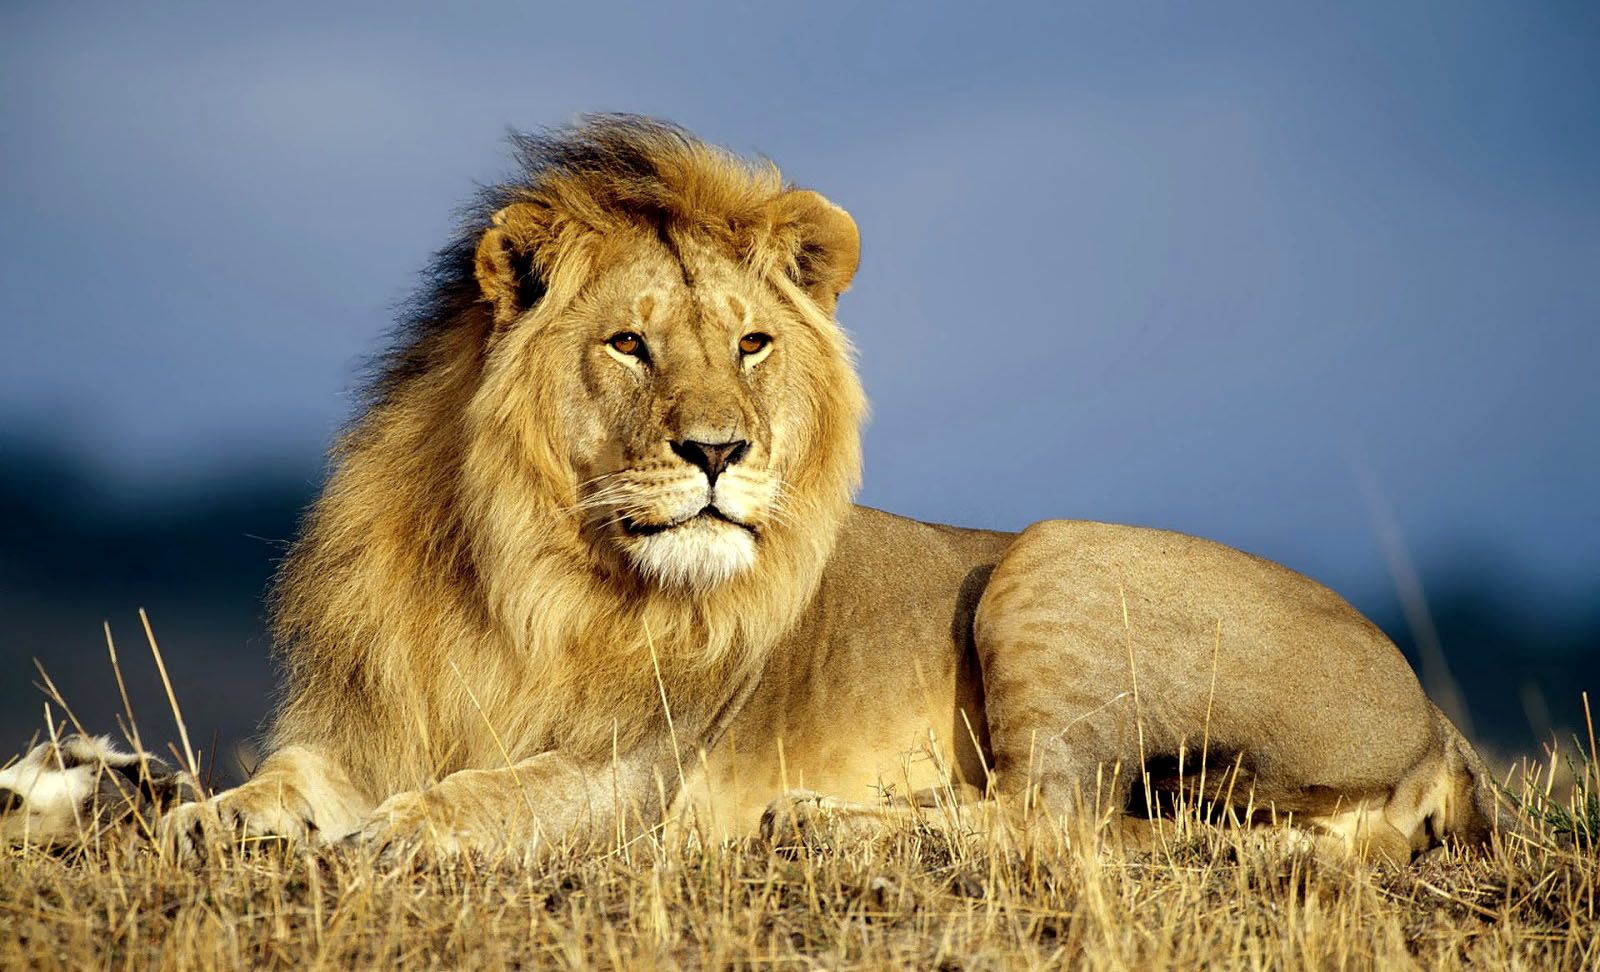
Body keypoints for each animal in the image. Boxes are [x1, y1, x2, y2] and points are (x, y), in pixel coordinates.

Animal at [9, 115, 1502, 862]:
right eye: (629, 344)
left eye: (750, 345)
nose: (721, 452)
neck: (518, 571)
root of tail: (1436, 723)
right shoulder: (360, 728)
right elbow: (266, 791)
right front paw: (167, 812)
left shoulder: (633, 772)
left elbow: (472, 804)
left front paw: (379, 844)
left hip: (1051, 558)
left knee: (1054, 818)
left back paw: (822, 823)